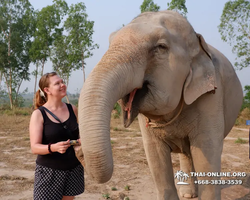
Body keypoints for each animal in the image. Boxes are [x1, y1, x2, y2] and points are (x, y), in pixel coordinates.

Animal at [77, 10, 242, 200]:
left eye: (161, 47)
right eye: (110, 42)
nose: (79, 151)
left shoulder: (211, 96)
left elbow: (206, 154)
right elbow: (156, 157)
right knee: (186, 153)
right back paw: (188, 194)